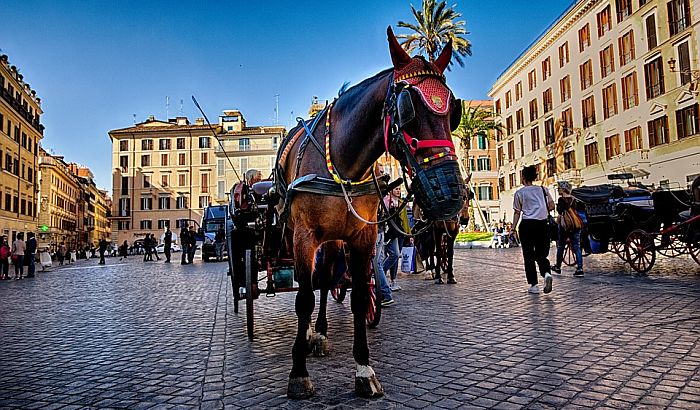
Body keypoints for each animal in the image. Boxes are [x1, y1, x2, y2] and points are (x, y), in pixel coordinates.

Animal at [274, 27, 464, 398]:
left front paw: (363, 369)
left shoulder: (363, 236)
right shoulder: (305, 236)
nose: (451, 194)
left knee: (325, 279)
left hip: (334, 240)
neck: (344, 161)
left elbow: (361, 297)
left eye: (453, 112)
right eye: (407, 109)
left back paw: (320, 332)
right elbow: (302, 298)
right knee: (310, 286)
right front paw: (298, 373)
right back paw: (309, 335)